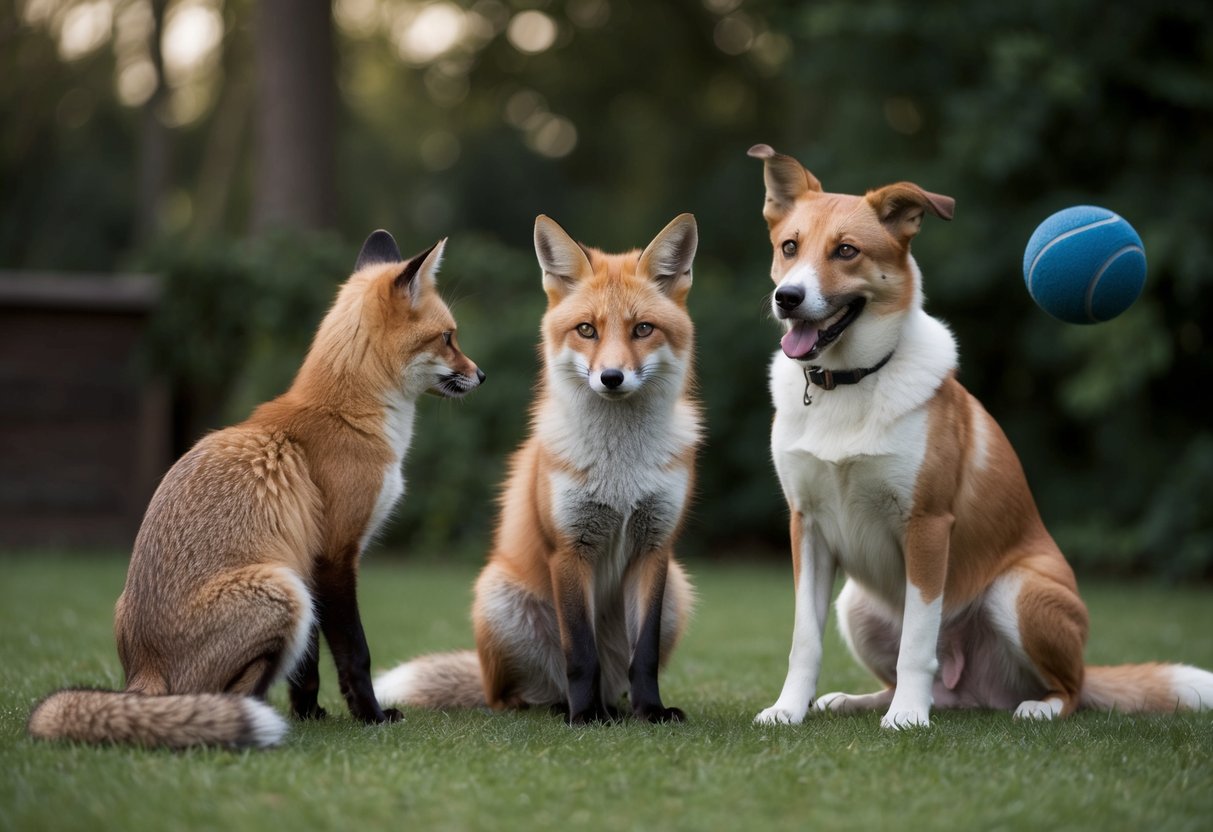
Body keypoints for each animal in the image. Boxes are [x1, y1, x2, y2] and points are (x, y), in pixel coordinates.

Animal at [27, 230, 484, 748]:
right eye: (448, 337)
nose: (481, 374)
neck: (349, 415)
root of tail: (142, 668)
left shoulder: (307, 559)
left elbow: (307, 667)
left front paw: (311, 713)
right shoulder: (334, 555)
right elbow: (356, 653)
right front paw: (371, 717)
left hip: (285, 588)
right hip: (282, 592)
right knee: (231, 692)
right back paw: (242, 718)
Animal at [375, 214, 700, 724]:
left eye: (643, 329)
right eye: (586, 330)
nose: (611, 377)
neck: (621, 470)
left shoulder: (655, 547)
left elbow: (643, 655)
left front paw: (651, 710)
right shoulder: (568, 548)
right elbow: (580, 652)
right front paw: (585, 718)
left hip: (678, 592)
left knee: (616, 674)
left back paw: (617, 706)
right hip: (498, 598)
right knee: (521, 694)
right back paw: (560, 707)